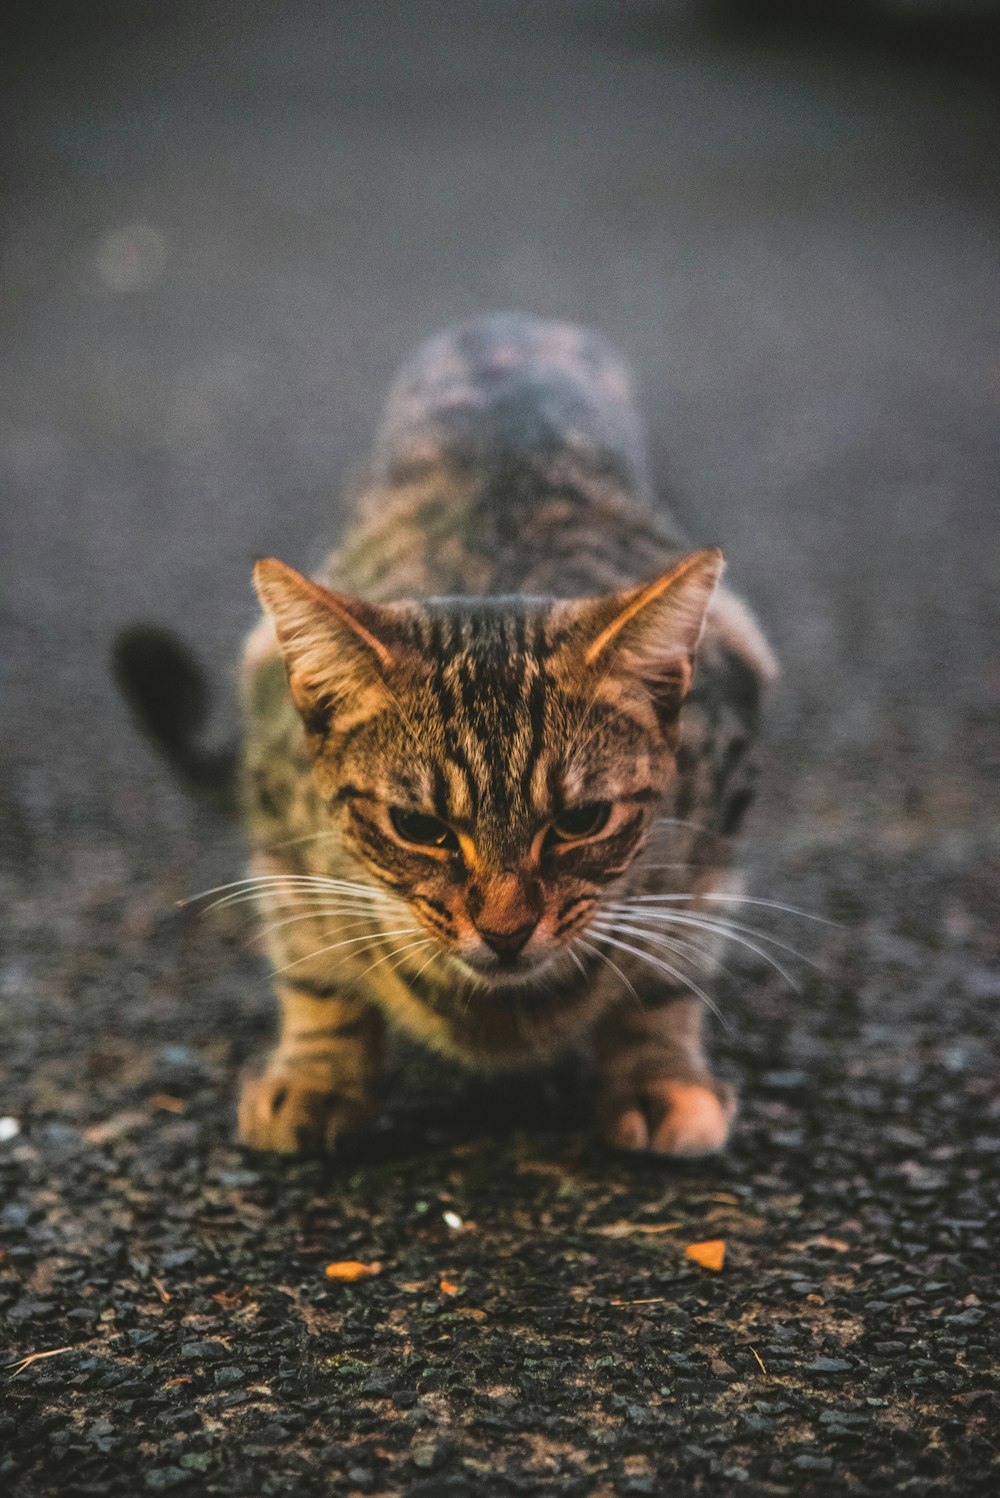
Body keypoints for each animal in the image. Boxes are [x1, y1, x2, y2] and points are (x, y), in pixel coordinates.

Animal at [119, 313, 772, 1156]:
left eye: (582, 821)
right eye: (417, 826)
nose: (506, 932)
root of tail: (513, 318)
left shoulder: (715, 820)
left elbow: (668, 971)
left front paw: (659, 1076)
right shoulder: (278, 825)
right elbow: (312, 968)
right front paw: (317, 1077)